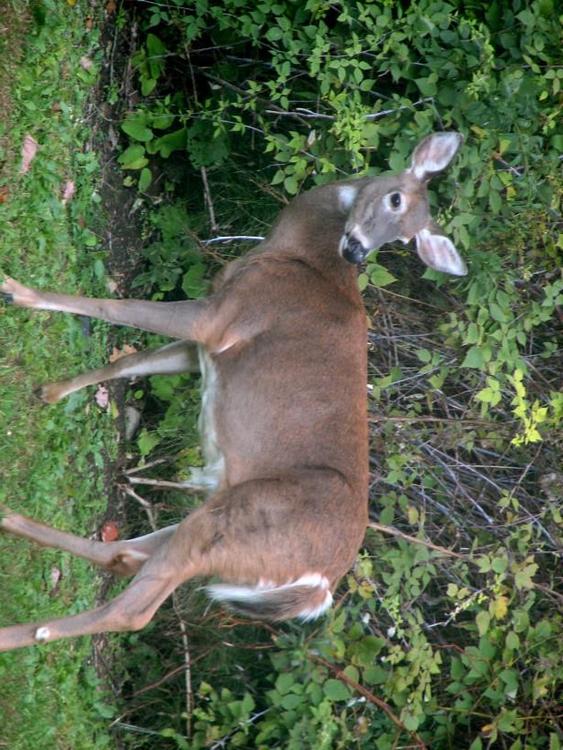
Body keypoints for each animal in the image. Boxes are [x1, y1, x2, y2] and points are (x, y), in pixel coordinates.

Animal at [0, 132, 466, 651]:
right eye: (396, 201)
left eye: (405, 237)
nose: (357, 250)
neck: (297, 254)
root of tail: (320, 586)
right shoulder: (204, 348)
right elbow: (127, 361)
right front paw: (50, 391)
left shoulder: (219, 317)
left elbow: (114, 306)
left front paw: (16, 290)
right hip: (219, 524)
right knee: (121, 555)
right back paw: (7, 518)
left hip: (237, 522)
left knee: (131, 608)